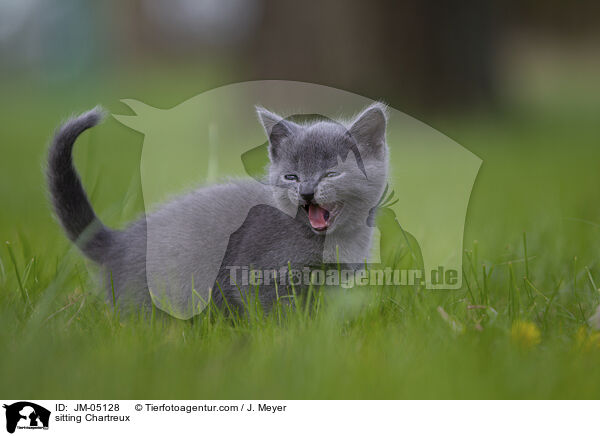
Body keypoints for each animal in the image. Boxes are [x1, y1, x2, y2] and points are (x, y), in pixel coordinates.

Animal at [49, 104, 392, 316]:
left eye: (331, 174)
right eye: (291, 177)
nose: (306, 192)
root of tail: (117, 244)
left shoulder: (329, 286)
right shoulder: (257, 274)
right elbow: (273, 313)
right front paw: (286, 338)